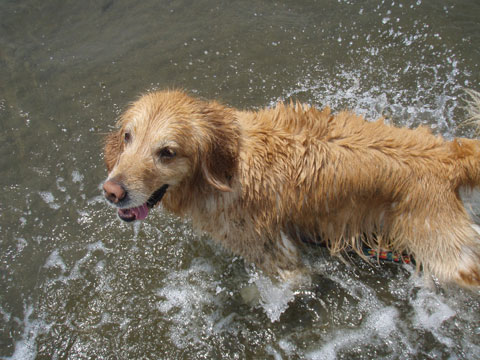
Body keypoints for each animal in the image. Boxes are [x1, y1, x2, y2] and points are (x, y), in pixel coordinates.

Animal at [103, 89, 480, 286]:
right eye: (128, 137)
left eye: (167, 152)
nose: (111, 191)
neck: (228, 166)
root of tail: (451, 156)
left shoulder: (275, 256)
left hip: (444, 254)